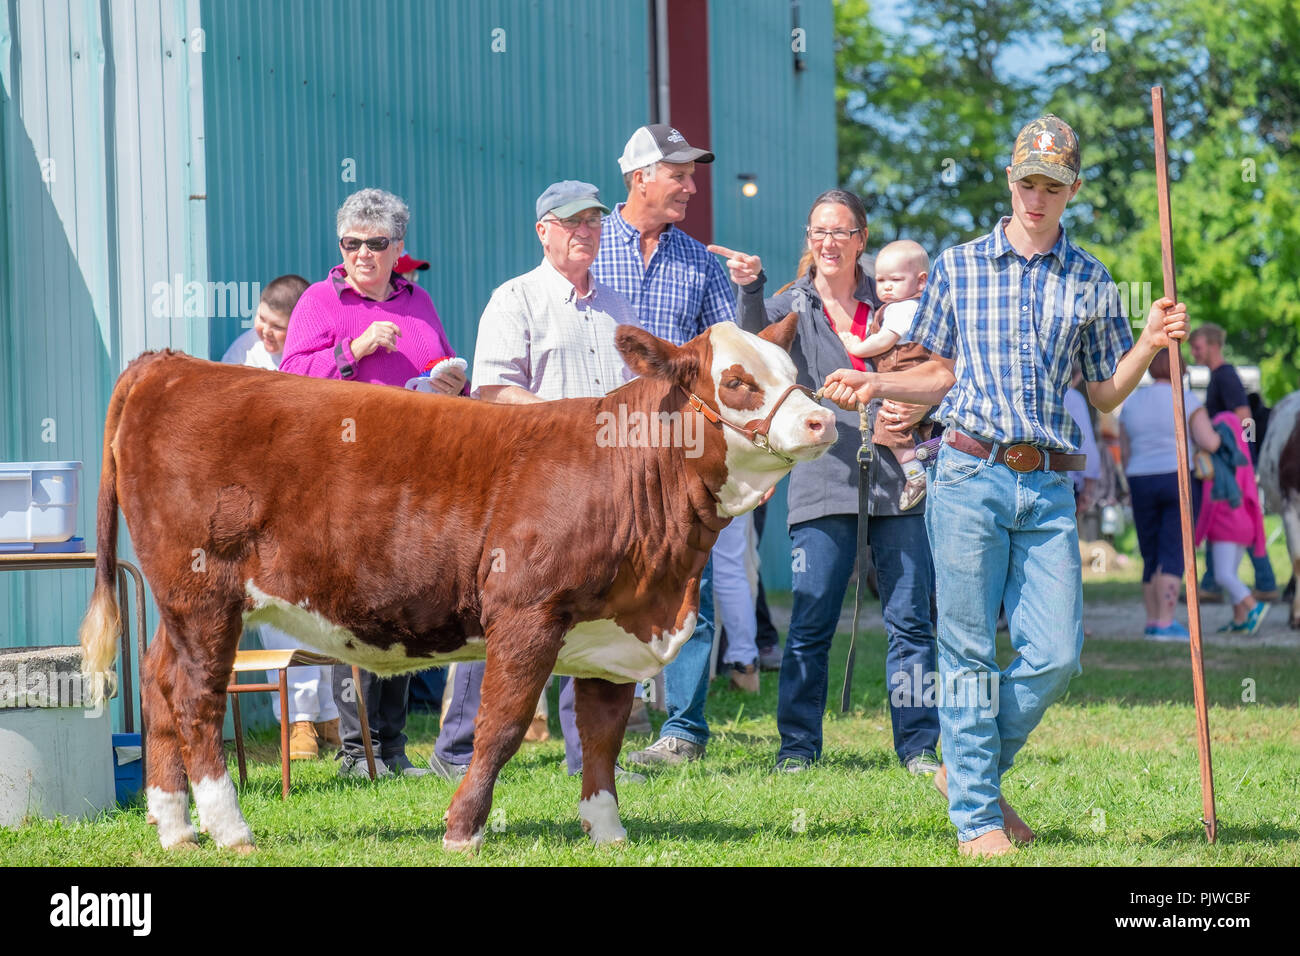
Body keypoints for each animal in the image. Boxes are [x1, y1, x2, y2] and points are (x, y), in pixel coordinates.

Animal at [81, 319, 832, 853]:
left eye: (794, 373)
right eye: (737, 380)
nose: (822, 419)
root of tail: (170, 364)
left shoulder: (612, 633)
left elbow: (603, 736)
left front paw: (607, 830)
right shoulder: (527, 614)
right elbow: (500, 727)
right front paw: (463, 829)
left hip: (178, 602)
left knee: (157, 681)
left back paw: (175, 826)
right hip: (206, 590)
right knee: (195, 696)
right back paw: (229, 828)